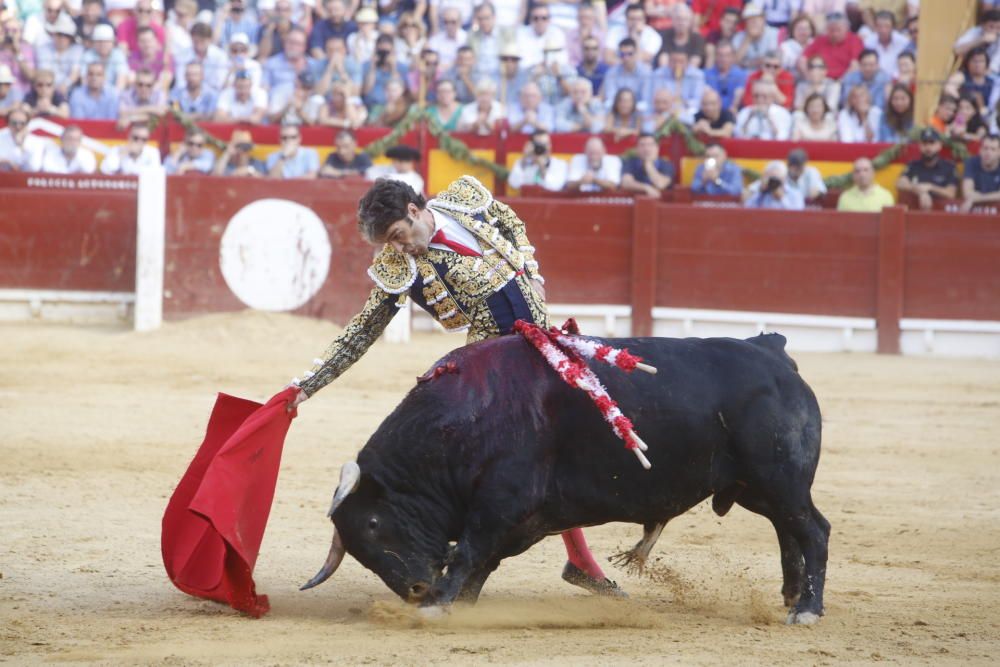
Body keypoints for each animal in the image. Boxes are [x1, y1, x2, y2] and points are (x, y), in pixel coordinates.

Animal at [300, 334, 832, 628]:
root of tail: (774, 353)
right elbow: (482, 561)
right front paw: (463, 606)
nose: (414, 589)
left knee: (813, 530)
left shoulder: (500, 502)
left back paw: (807, 610)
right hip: (755, 488)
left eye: (372, 524)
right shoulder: (522, 517)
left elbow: (470, 551)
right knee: (789, 529)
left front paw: (438, 607)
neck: (464, 419)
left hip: (777, 479)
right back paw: (791, 596)